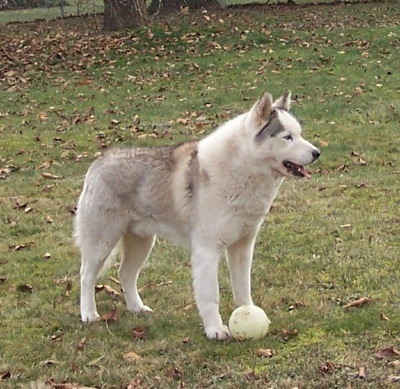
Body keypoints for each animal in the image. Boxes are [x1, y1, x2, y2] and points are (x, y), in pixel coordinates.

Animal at [74, 91, 318, 340]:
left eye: (299, 134)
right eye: (287, 137)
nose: (317, 153)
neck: (242, 171)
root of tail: (100, 160)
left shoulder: (242, 248)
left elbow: (243, 290)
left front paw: (247, 314)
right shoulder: (207, 251)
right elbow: (211, 296)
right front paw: (215, 330)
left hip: (142, 242)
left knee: (126, 274)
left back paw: (137, 308)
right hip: (102, 243)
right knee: (86, 276)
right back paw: (89, 314)